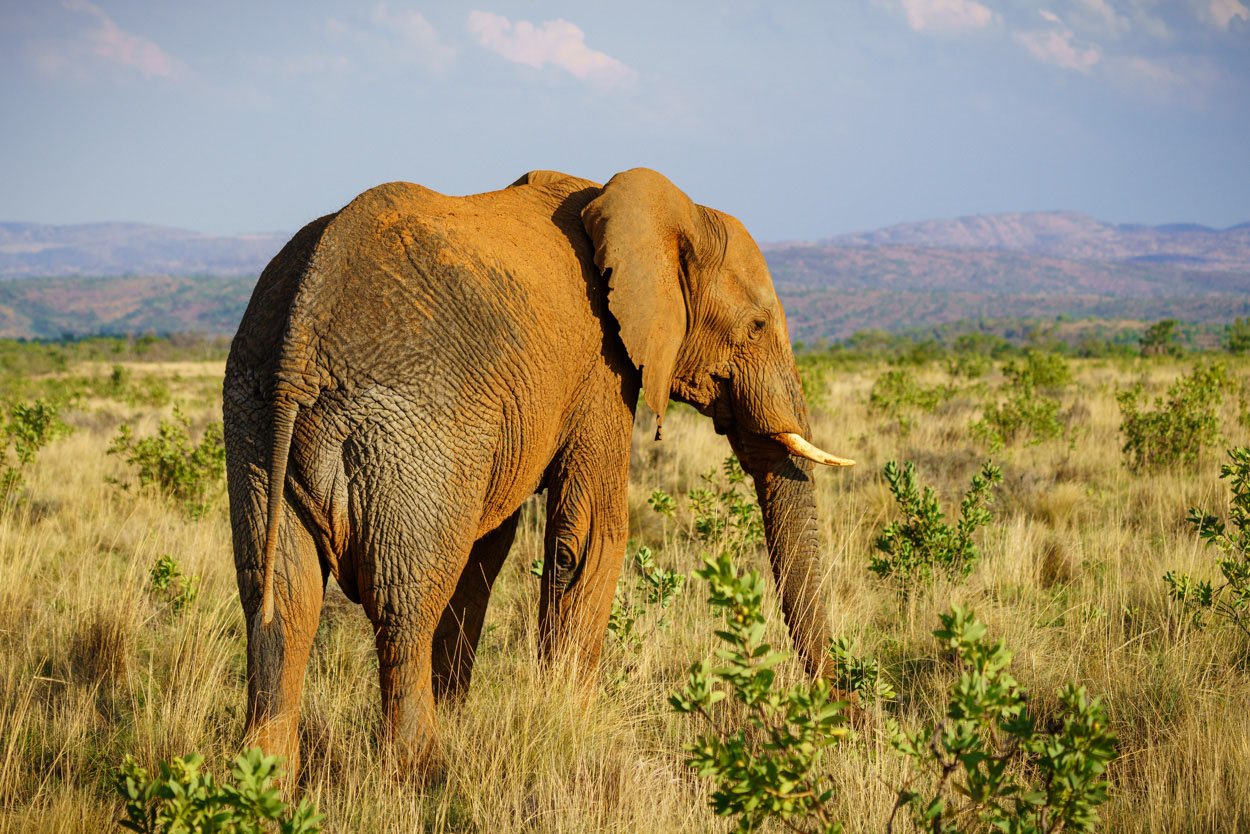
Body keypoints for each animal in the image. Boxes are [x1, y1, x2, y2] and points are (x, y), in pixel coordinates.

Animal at [222, 167, 850, 775]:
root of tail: (301, 343)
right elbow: (593, 534)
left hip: (257, 423)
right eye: (757, 327)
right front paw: (568, 723)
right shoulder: (603, 366)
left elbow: (487, 550)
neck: (666, 208)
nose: (846, 714)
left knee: (282, 598)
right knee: (404, 601)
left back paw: (265, 779)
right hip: (404, 429)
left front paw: (465, 709)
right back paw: (423, 773)